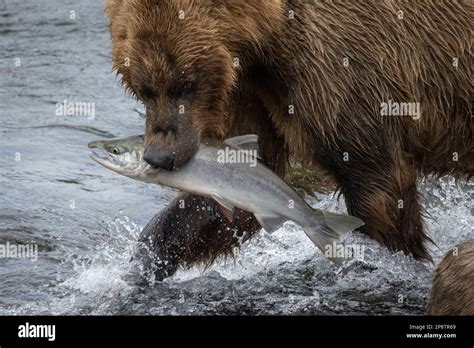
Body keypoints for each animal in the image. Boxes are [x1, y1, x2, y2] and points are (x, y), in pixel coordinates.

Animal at [105, 0, 472, 278]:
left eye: (186, 82)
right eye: (143, 87)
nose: (159, 156)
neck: (266, 36)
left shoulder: (343, 66)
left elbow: (377, 182)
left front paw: (391, 256)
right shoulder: (251, 90)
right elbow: (243, 187)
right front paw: (145, 263)